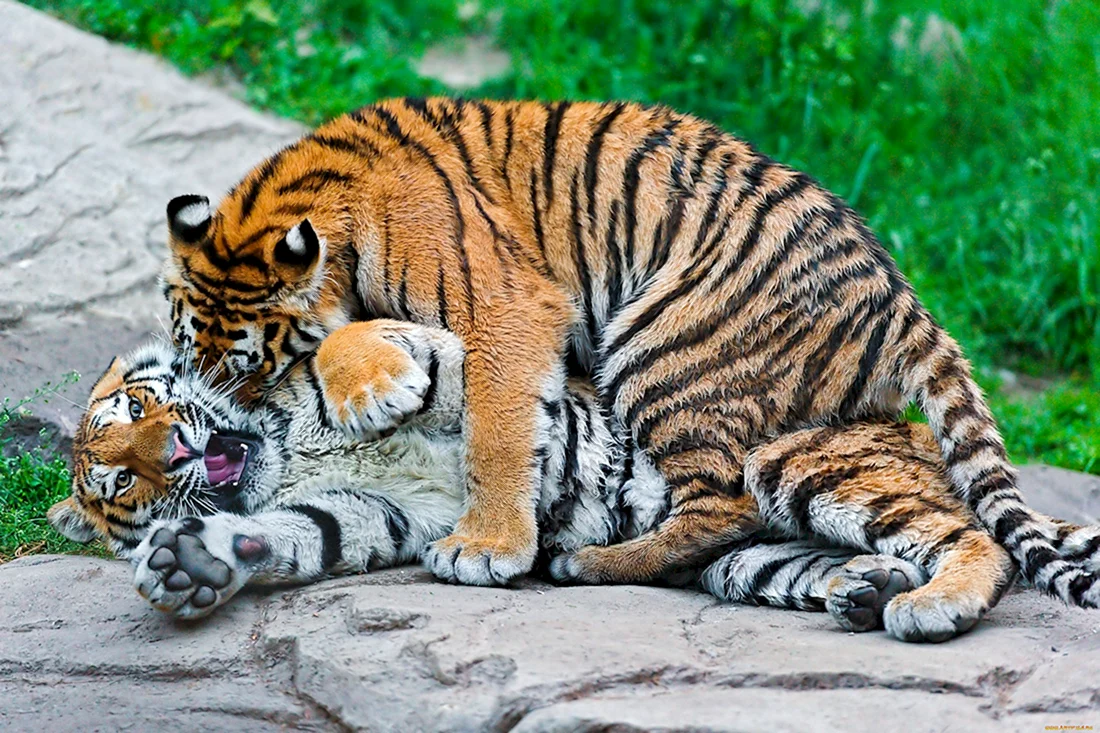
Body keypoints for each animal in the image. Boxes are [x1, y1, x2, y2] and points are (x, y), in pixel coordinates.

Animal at [57, 319, 1090, 642]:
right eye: (121, 488)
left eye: (140, 408)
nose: (173, 457)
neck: (286, 446)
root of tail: (908, 432)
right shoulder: (370, 513)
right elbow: (292, 531)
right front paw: (190, 565)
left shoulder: (453, 354)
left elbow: (361, 344)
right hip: (753, 555)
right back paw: (867, 590)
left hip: (799, 458)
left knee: (981, 540)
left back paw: (928, 604)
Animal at [158, 97, 1100, 606]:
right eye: (194, 357)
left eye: (248, 364)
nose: (228, 430)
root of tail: (906, 302)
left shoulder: (509, 307)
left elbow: (499, 429)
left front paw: (485, 547)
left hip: (661, 344)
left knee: (726, 503)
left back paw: (588, 560)